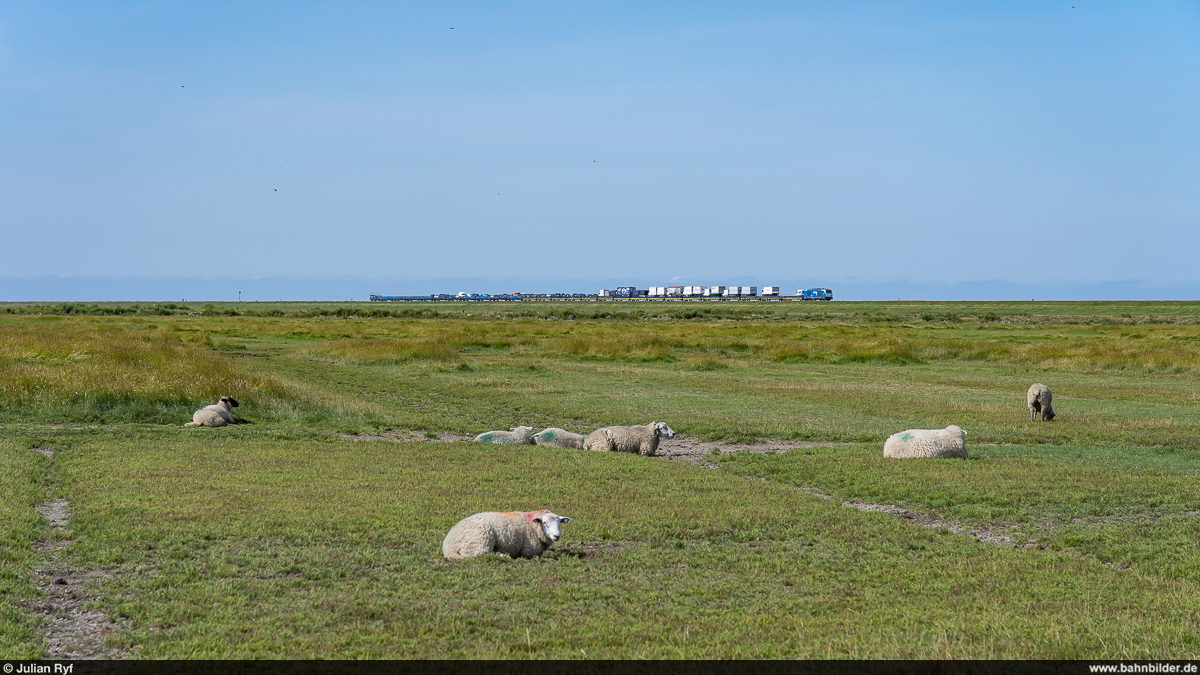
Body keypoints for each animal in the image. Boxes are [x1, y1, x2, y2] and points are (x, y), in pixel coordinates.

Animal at [441, 506, 571, 559]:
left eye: (559, 523)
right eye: (545, 523)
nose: (556, 536)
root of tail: (447, 546)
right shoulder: (529, 551)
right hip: (480, 539)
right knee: (480, 554)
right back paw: (504, 556)